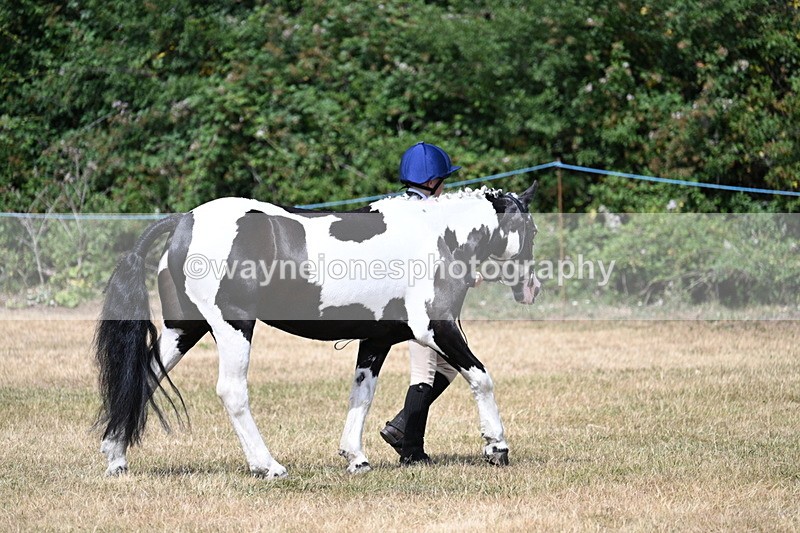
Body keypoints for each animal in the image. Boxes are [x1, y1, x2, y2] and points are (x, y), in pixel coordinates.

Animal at [94, 182, 540, 478]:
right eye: (531, 229)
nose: (531, 288)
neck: (438, 238)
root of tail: (186, 220)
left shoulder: (376, 339)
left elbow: (362, 394)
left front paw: (356, 457)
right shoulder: (436, 329)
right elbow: (480, 376)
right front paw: (496, 445)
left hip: (185, 329)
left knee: (144, 375)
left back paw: (116, 457)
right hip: (233, 327)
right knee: (231, 391)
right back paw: (267, 465)